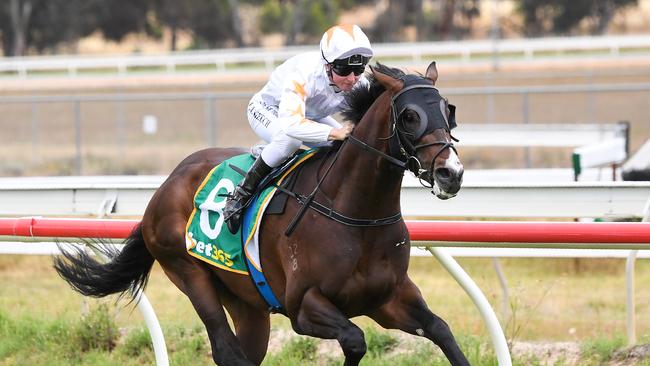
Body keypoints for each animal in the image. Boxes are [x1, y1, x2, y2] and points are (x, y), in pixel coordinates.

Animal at [52, 61, 466, 364]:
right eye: (410, 116)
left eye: (448, 110)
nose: (451, 173)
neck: (357, 214)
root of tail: (166, 185)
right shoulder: (304, 307)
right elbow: (355, 339)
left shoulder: (389, 299)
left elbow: (442, 330)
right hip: (188, 272)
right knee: (226, 350)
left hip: (247, 302)